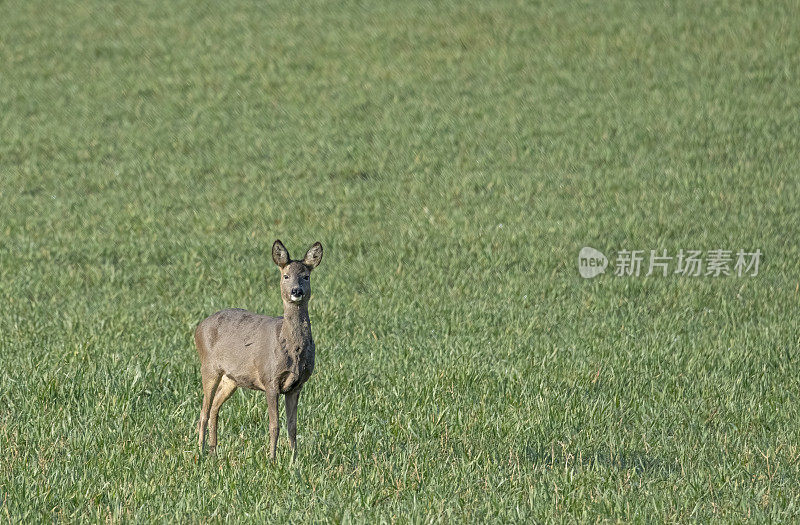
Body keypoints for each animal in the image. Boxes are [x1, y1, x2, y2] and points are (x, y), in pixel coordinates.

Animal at [194, 238, 322, 458]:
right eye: (286, 275)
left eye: (306, 276)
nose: (296, 291)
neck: (291, 349)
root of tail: (198, 328)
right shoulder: (269, 379)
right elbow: (274, 425)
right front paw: (272, 458)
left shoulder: (297, 385)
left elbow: (292, 426)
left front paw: (294, 458)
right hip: (209, 367)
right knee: (204, 410)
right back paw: (200, 450)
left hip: (231, 378)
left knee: (214, 408)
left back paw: (213, 450)